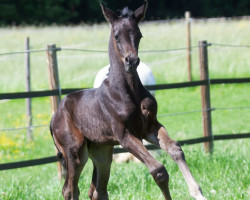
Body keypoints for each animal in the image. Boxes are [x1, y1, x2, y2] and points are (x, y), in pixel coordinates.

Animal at [49, 0, 206, 199]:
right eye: (116, 35)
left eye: (139, 34)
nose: (131, 61)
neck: (127, 91)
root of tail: (55, 117)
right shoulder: (125, 136)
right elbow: (158, 170)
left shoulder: (150, 127)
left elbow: (175, 149)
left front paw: (198, 193)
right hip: (75, 151)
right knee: (69, 190)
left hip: (101, 151)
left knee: (97, 190)